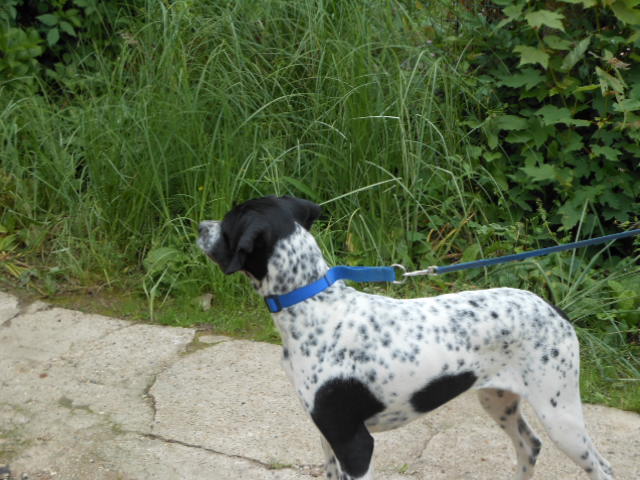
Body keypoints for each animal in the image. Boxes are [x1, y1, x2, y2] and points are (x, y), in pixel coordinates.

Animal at [197, 195, 614, 480]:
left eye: (230, 220)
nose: (200, 227)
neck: (314, 305)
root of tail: (555, 309)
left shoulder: (355, 444)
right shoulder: (328, 438)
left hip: (560, 415)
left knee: (601, 467)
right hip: (498, 400)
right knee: (529, 446)